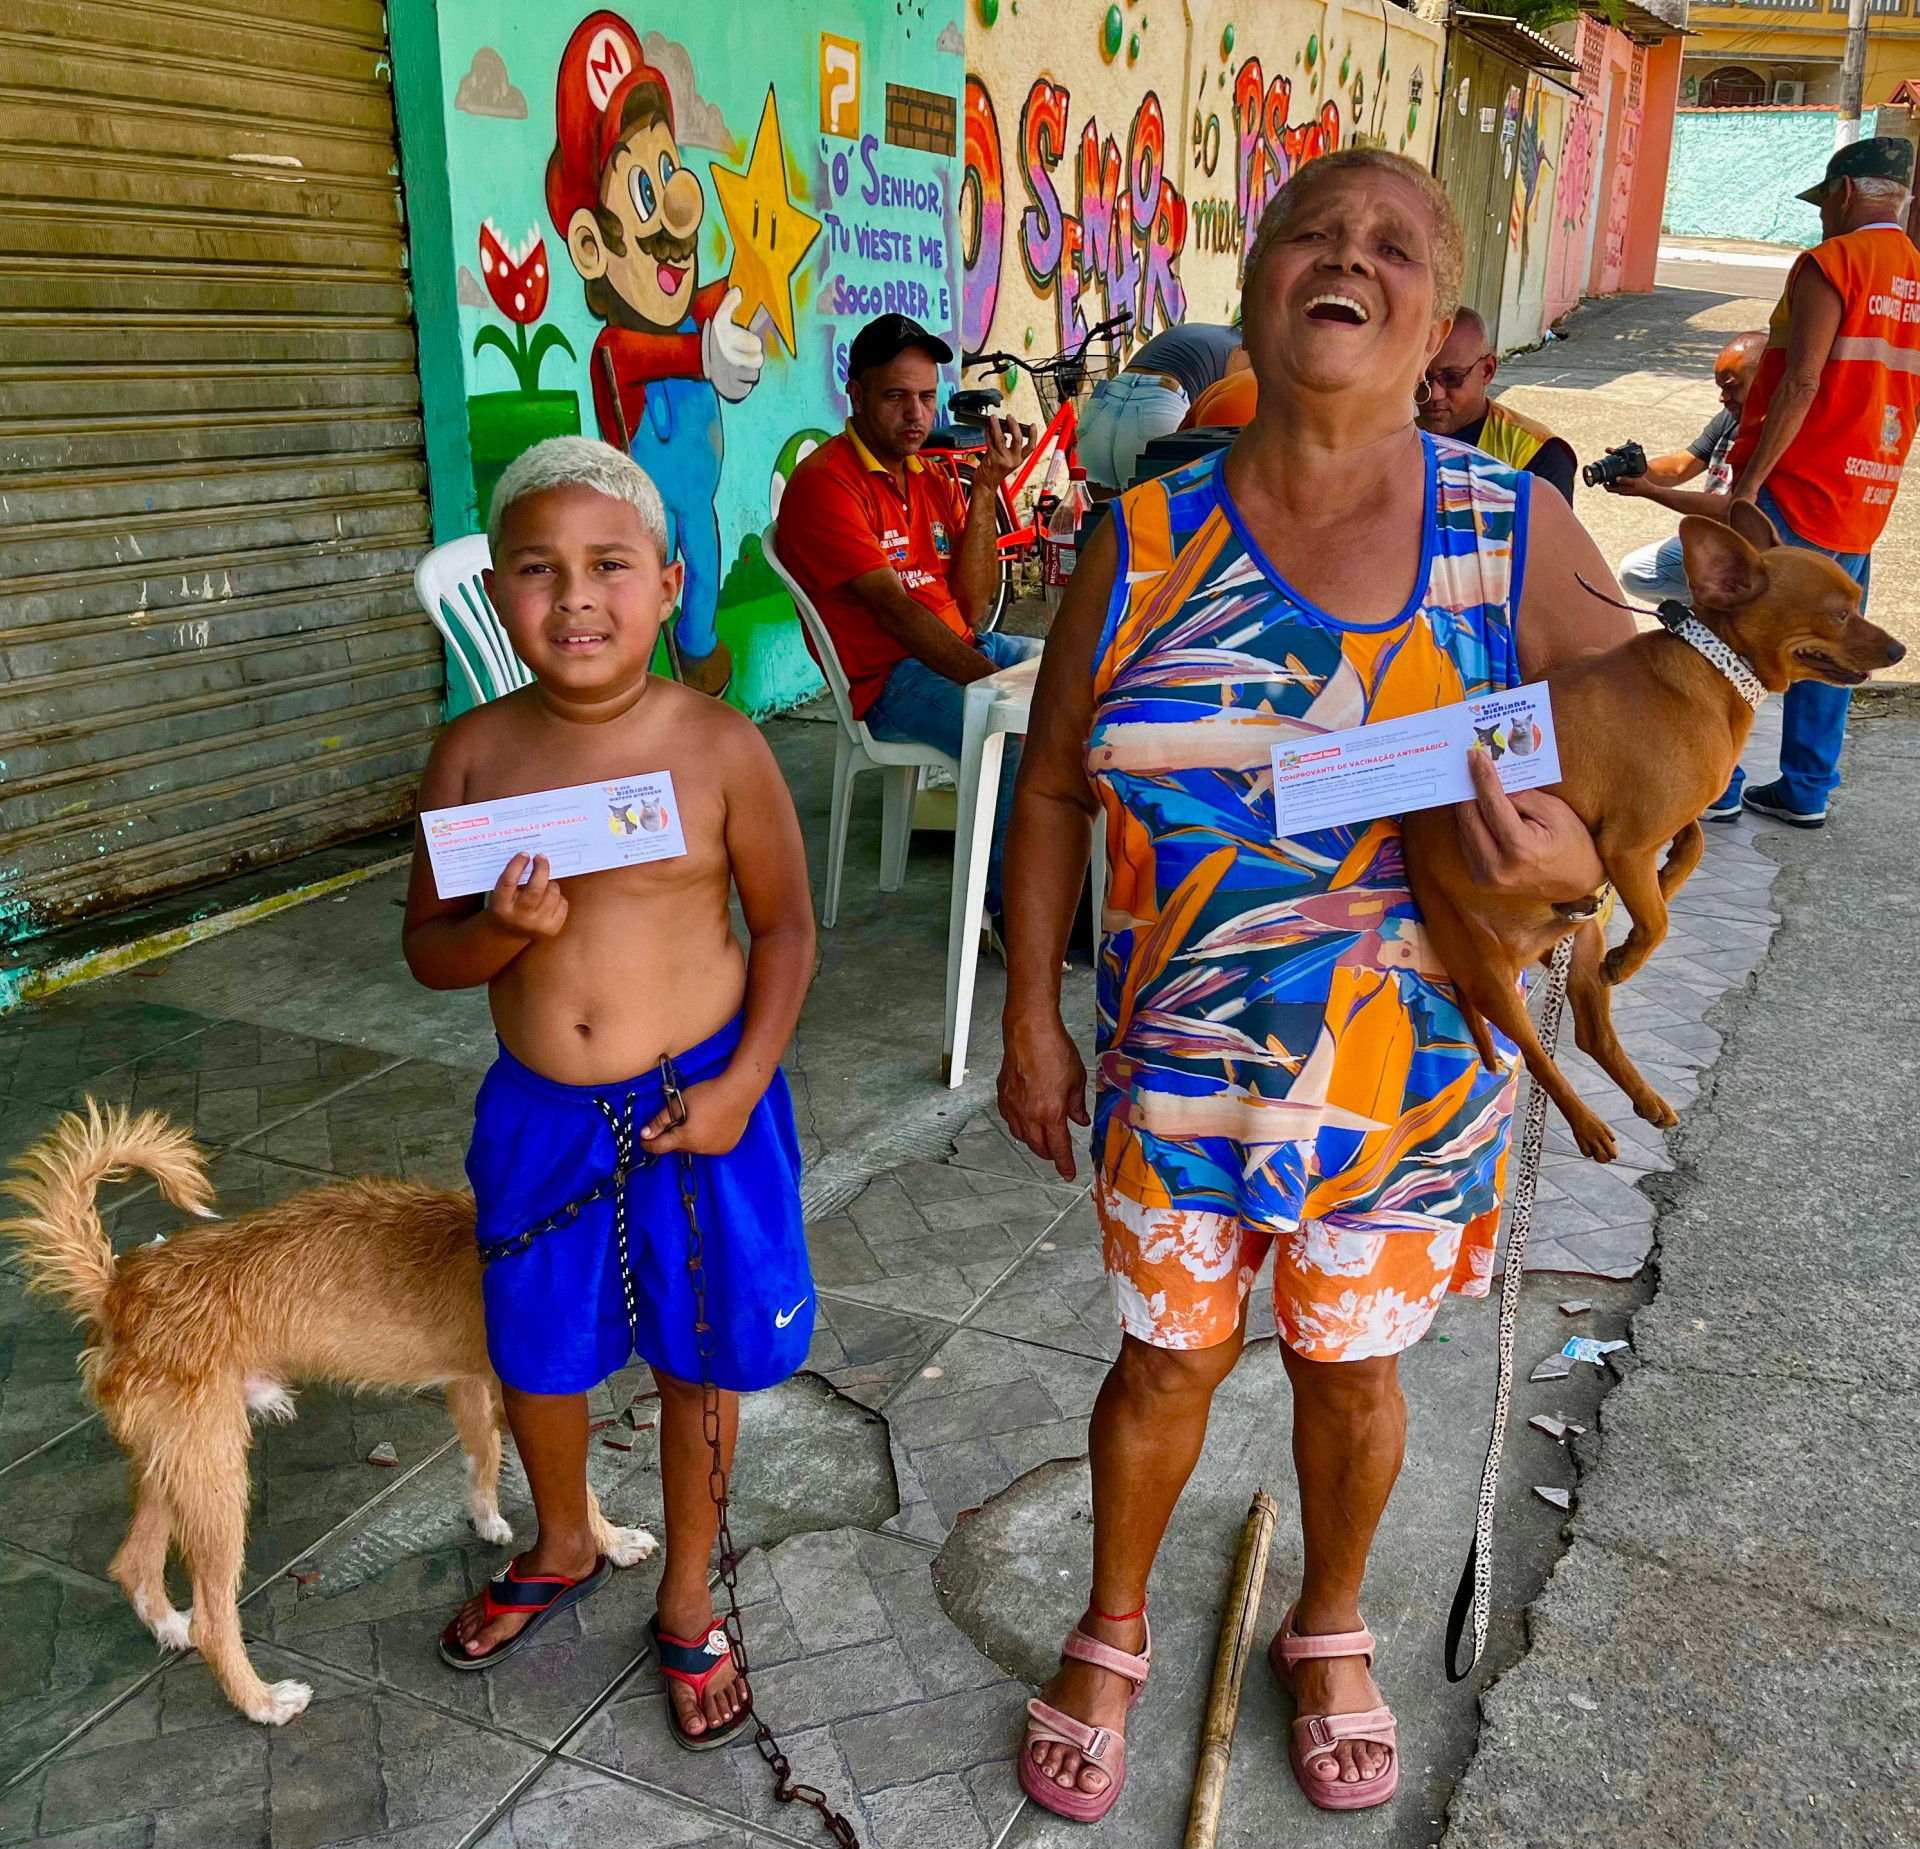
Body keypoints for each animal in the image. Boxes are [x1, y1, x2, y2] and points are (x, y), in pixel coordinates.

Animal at [3, 1098, 656, 1720]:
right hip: (216, 1482)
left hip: (177, 1465)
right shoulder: (525, 1396)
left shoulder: (469, 1385)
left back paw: (172, 1629)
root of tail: (118, 1289)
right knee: (214, 1617)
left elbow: (482, 1454)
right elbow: (577, 1488)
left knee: (134, 1565)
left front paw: (485, 1516)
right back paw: (262, 1703)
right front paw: (613, 1541)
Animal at [1397, 499, 1904, 1167]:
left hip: (1577, 948)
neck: (1716, 670)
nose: (1900, 649)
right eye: (1840, 613)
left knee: (1590, 1035)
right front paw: (1637, 947)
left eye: (1858, 601)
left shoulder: (1660, 827)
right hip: (1488, 975)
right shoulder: (1626, 844)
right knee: (1537, 1057)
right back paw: (1589, 1124)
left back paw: (1645, 1099)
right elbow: (1660, 921)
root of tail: (1527, 948)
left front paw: (1663, 885)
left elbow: (1695, 845)